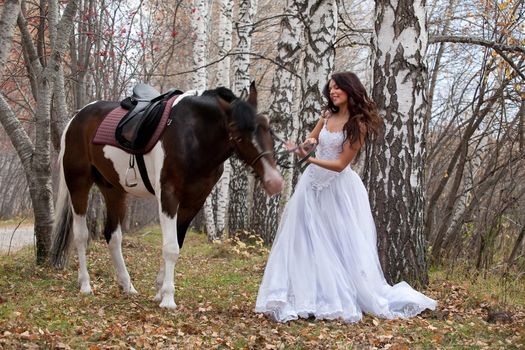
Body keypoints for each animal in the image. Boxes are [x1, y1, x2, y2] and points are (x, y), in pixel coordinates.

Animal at [50, 83, 282, 308]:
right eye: (237, 132)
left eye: (268, 128)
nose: (275, 181)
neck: (194, 135)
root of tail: (77, 118)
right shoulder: (168, 196)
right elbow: (170, 248)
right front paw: (168, 299)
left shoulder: (193, 202)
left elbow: (176, 243)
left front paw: (159, 291)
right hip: (78, 184)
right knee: (81, 235)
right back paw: (85, 285)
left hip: (113, 190)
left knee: (113, 236)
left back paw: (127, 286)